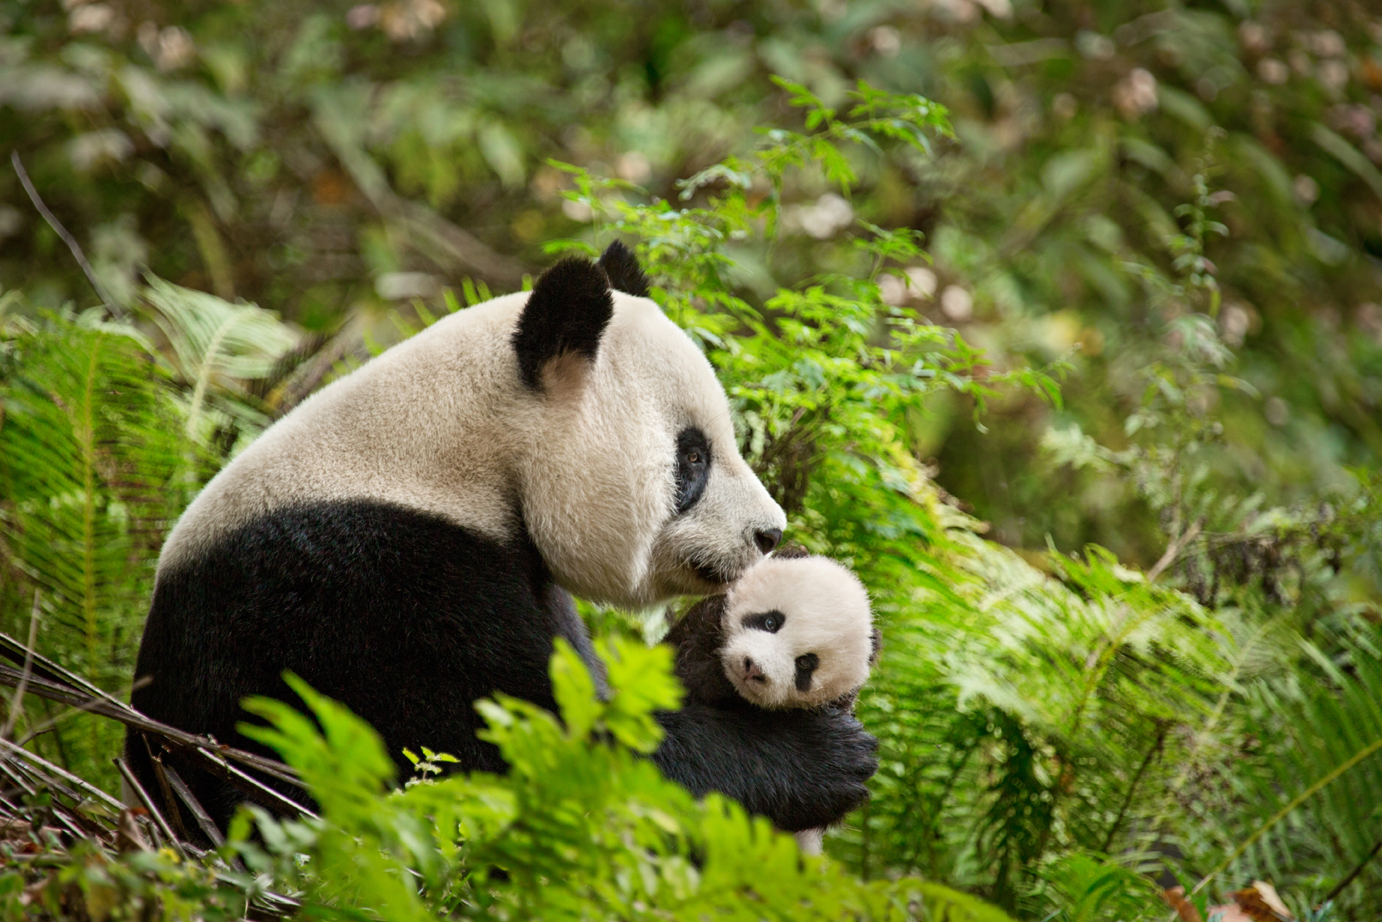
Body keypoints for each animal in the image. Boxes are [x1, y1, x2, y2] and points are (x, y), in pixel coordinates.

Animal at [131, 243, 884, 834]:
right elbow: (543, 749)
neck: (457, 454)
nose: (768, 532)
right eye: (692, 457)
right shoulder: (367, 589)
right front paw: (821, 755)